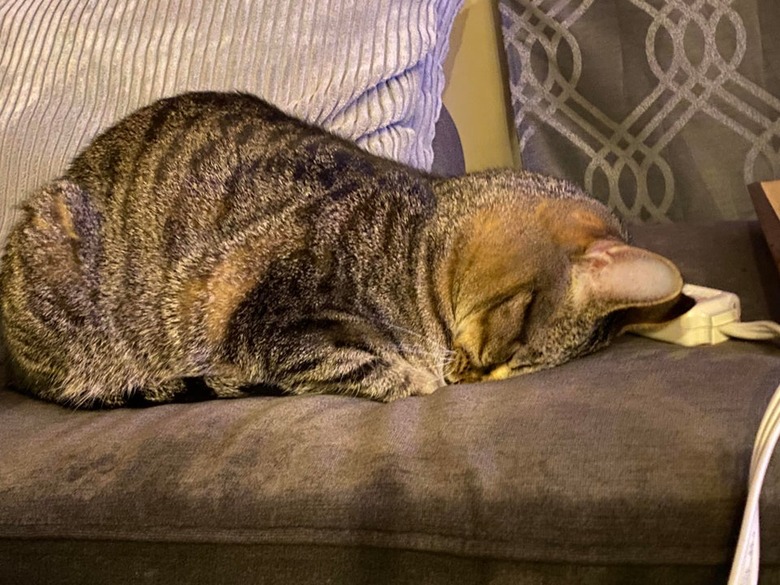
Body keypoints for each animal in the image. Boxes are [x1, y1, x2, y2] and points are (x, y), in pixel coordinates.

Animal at [0, 91, 684, 406]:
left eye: (517, 366)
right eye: (512, 339)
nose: (468, 377)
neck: (421, 238)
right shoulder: (271, 323)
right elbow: (363, 364)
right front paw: (419, 378)